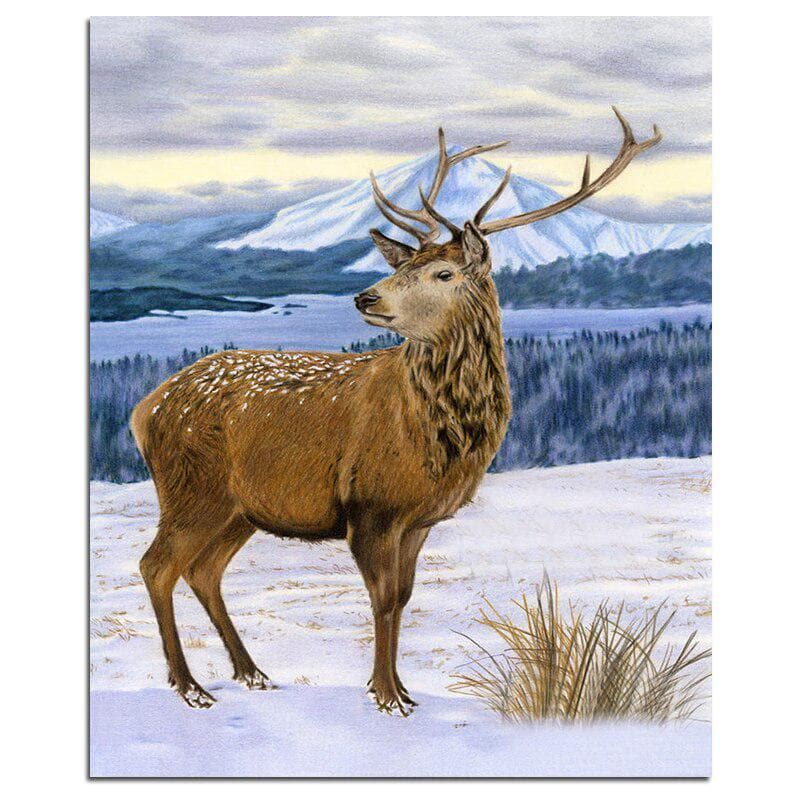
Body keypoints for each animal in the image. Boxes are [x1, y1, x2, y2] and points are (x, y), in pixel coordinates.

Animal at [131, 107, 661, 715]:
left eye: (443, 273)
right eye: (406, 266)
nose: (365, 297)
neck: (442, 440)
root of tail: (143, 410)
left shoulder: (418, 518)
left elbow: (403, 597)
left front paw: (401, 689)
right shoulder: (371, 505)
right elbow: (382, 598)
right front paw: (387, 697)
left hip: (238, 508)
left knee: (203, 570)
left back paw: (252, 673)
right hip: (192, 487)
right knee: (157, 566)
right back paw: (190, 687)